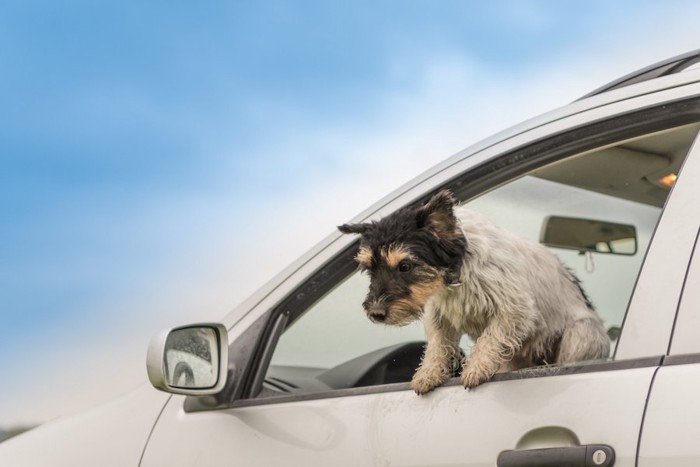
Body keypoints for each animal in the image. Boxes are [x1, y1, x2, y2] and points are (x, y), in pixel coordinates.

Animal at [340, 190, 612, 394]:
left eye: (405, 266)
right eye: (369, 269)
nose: (375, 313)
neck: (455, 275)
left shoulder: (515, 309)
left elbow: (491, 337)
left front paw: (476, 367)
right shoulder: (439, 314)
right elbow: (437, 344)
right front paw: (428, 373)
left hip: (580, 334)